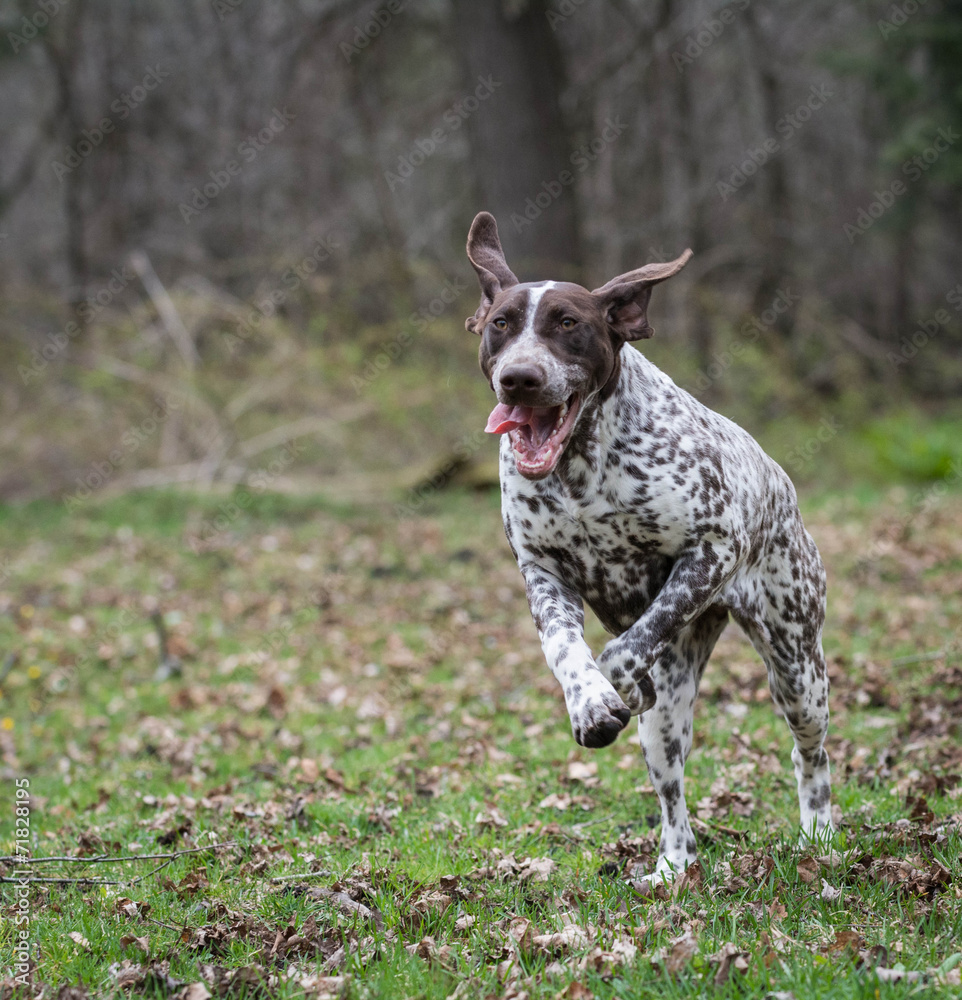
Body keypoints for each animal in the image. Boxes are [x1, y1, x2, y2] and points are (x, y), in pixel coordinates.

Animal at [464, 213, 824, 884]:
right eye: (501, 323)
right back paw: (674, 864)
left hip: (797, 669)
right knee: (673, 791)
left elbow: (626, 646)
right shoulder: (543, 573)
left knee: (808, 755)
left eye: (568, 323)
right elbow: (565, 648)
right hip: (668, 725)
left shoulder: (710, 553)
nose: (519, 378)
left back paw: (821, 837)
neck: (581, 467)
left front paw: (614, 686)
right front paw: (588, 700)